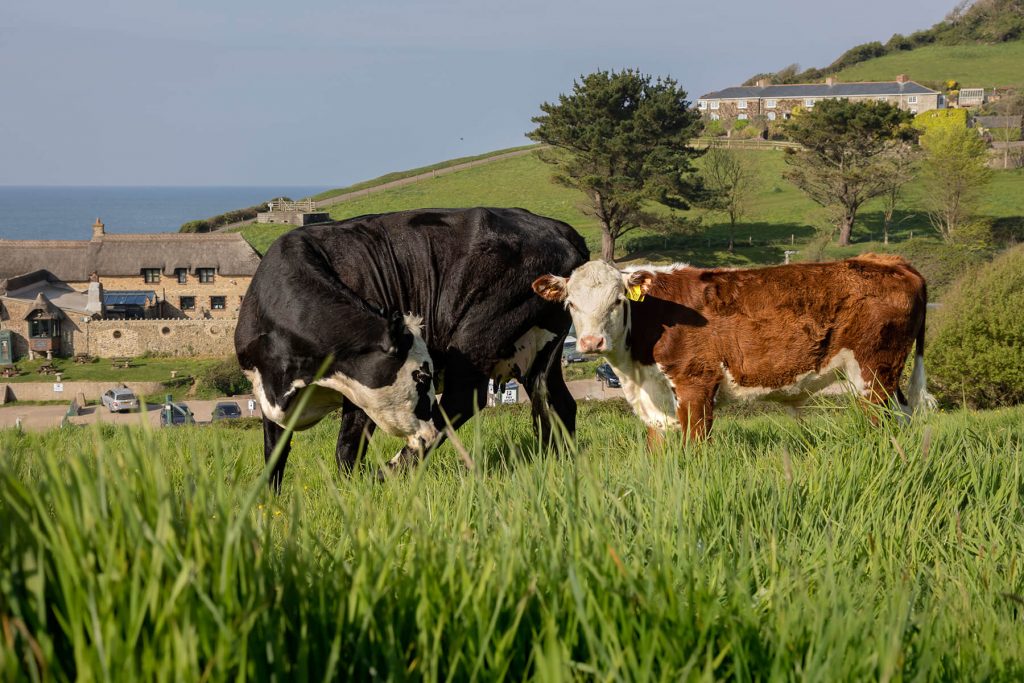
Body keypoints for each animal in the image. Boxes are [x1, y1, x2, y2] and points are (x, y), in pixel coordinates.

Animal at [236, 207, 588, 488]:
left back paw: (389, 472)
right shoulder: (266, 393)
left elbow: (347, 447)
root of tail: (556, 227)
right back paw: (558, 461)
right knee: (555, 402)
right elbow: (274, 454)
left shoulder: (360, 390)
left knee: (462, 399)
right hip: (541, 348)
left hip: (476, 335)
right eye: (421, 377)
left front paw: (353, 490)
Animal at [532, 254, 934, 446]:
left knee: (882, 422)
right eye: (570, 304)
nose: (591, 343)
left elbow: (694, 444)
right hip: (885, 377)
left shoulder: (696, 383)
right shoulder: (655, 396)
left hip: (874, 372)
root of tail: (888, 261)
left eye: (617, 301)